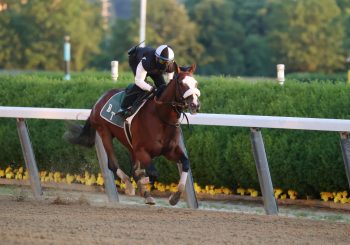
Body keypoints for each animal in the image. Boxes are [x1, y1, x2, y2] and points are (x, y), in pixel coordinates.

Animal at [63, 63, 200, 205]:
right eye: (182, 83)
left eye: (196, 83)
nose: (195, 105)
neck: (160, 116)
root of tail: (98, 101)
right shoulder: (142, 151)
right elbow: (151, 174)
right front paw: (138, 185)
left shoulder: (169, 151)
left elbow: (185, 163)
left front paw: (175, 196)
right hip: (104, 132)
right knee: (113, 164)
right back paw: (129, 186)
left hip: (129, 144)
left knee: (132, 169)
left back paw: (145, 193)